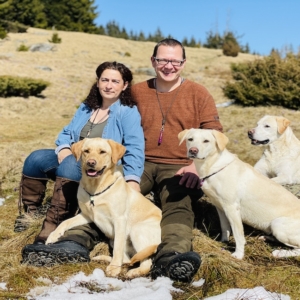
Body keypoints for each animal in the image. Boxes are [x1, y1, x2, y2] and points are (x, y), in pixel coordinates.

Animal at [46, 138, 162, 278]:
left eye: (102, 152)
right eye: (86, 151)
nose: (91, 162)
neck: (95, 189)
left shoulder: (119, 220)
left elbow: (118, 247)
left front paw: (114, 268)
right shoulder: (87, 215)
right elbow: (65, 222)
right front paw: (53, 235)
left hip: (137, 231)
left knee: (145, 263)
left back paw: (132, 271)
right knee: (128, 259)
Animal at [178, 129, 300, 260]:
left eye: (206, 141)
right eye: (190, 139)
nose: (193, 150)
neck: (213, 166)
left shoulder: (232, 208)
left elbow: (238, 235)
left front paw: (238, 254)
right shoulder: (220, 207)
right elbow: (224, 226)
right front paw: (224, 241)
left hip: (277, 224)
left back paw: (280, 253)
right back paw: (267, 237)